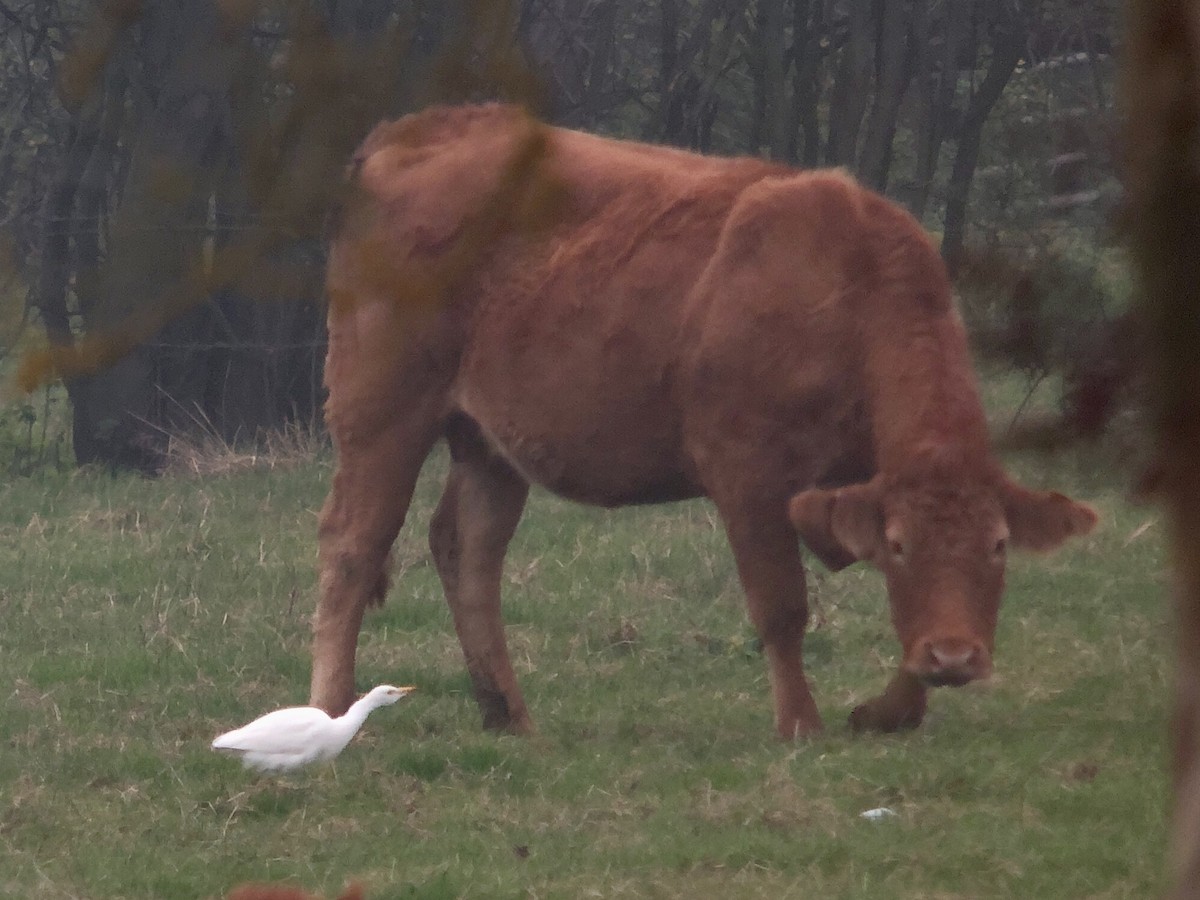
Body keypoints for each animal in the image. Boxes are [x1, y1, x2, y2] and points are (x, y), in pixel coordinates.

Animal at [311, 103, 1098, 740]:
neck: (847, 291)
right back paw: (331, 712)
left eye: (998, 546)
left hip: (489, 442)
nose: (958, 657)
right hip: (381, 409)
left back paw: (509, 714)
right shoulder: (747, 470)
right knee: (354, 544)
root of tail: (419, 129)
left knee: (467, 548)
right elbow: (781, 604)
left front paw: (889, 710)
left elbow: (903, 614)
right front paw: (801, 724)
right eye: (903, 544)